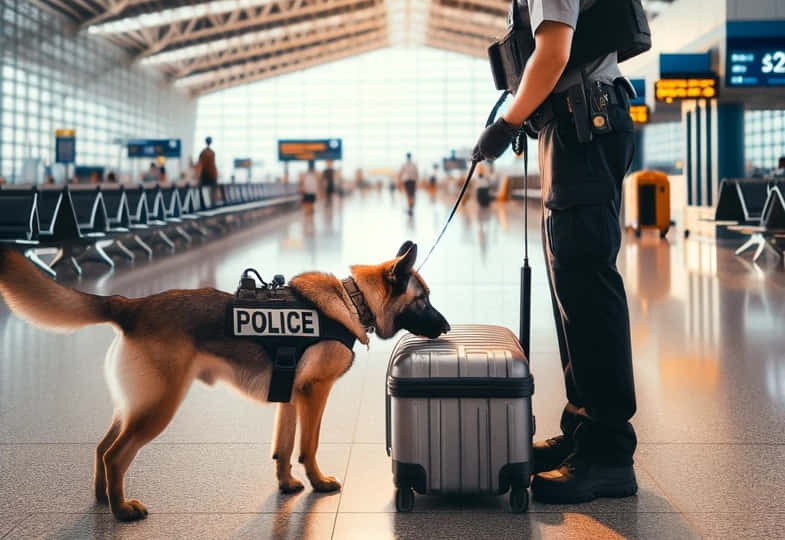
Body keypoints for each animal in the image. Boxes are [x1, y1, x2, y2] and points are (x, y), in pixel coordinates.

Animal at [0, 243, 448, 520]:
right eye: (423, 300)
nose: (446, 326)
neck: (351, 301)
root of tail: (130, 305)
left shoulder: (290, 396)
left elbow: (283, 447)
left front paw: (287, 484)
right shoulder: (313, 393)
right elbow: (308, 446)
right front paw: (318, 482)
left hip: (135, 404)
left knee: (101, 447)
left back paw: (105, 499)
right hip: (158, 406)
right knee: (115, 454)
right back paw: (122, 510)